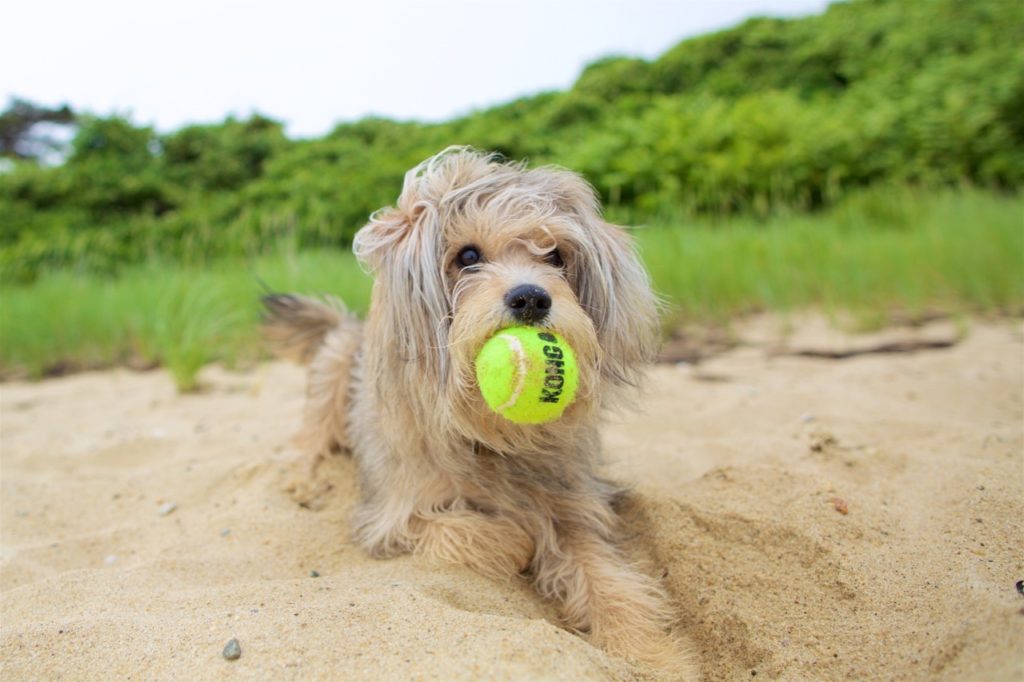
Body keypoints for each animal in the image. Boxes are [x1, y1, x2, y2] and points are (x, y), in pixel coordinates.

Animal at [262, 148, 696, 675]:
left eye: (556, 255)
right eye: (467, 256)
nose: (531, 297)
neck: (490, 436)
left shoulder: (575, 506)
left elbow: (608, 578)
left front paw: (651, 655)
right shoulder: (393, 516)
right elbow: (487, 533)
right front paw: (520, 537)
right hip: (335, 362)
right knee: (307, 437)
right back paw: (302, 478)